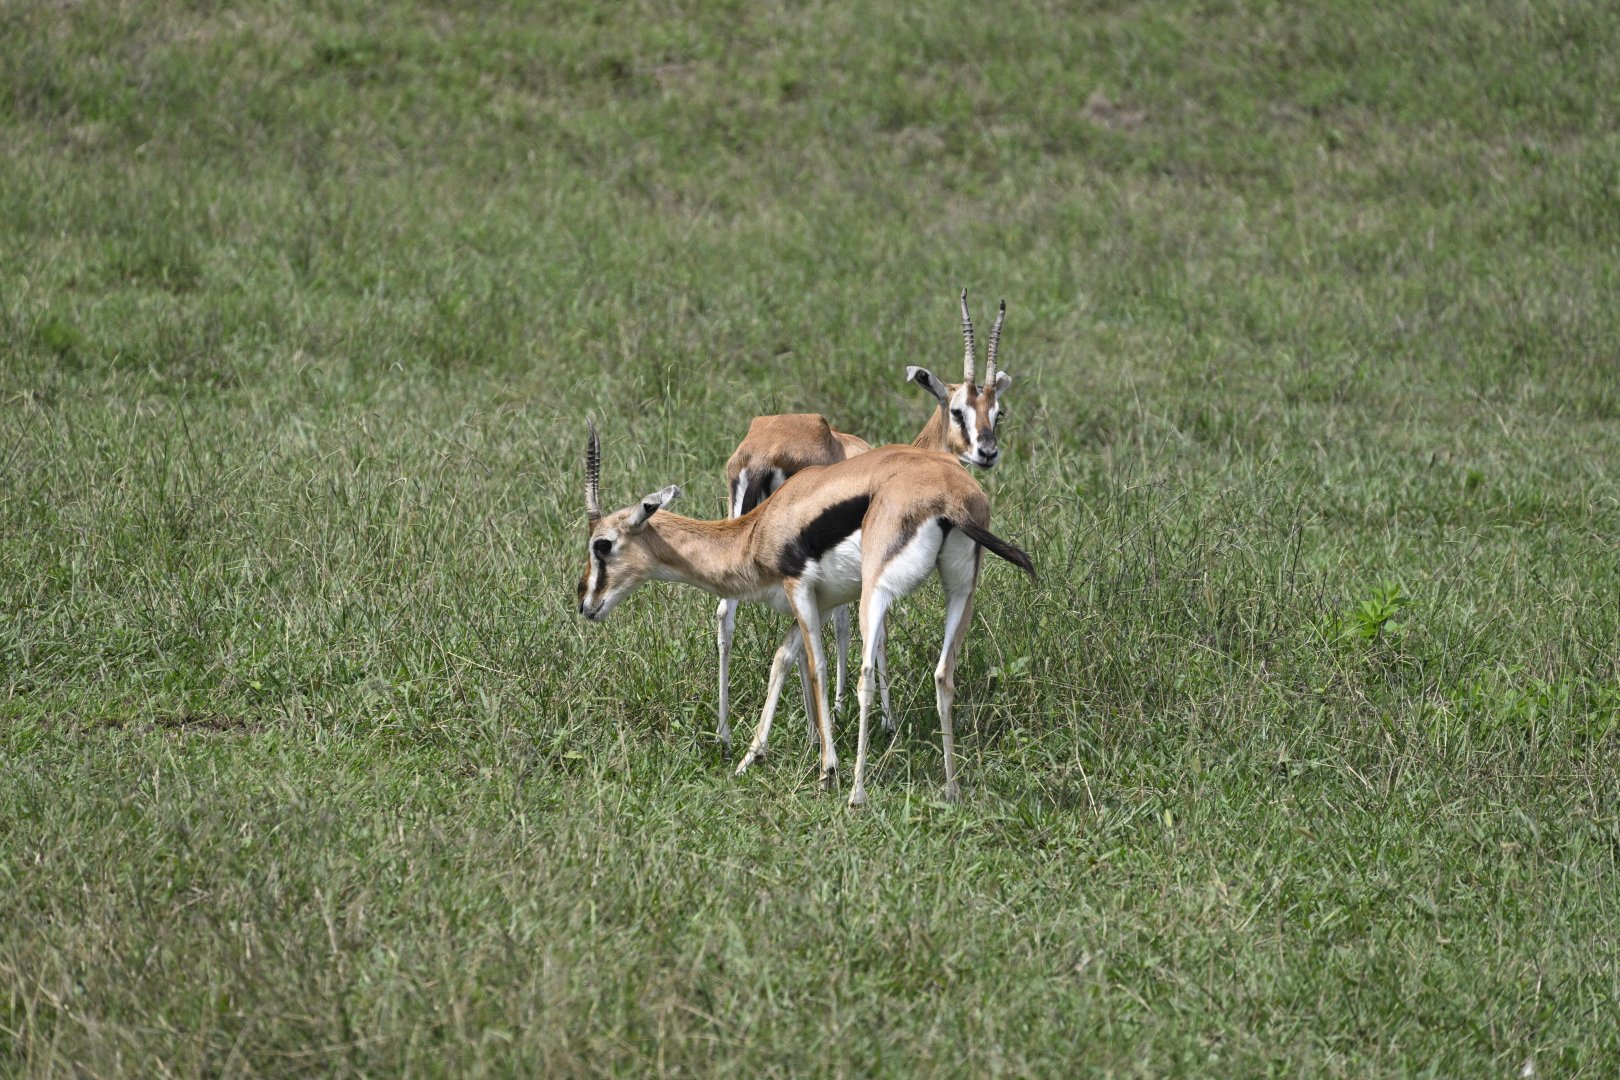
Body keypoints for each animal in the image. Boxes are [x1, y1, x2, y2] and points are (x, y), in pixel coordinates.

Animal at [578, 422, 1035, 807]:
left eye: (603, 544)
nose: (585, 604)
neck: (758, 531)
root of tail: (948, 497)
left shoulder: (798, 588)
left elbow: (814, 666)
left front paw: (825, 767)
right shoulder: (822, 601)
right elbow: (784, 658)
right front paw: (752, 756)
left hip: (876, 593)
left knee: (865, 676)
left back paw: (856, 794)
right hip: (960, 590)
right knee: (943, 674)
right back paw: (951, 789)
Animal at [713, 290, 1015, 753]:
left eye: (997, 413)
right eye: (958, 410)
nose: (987, 452)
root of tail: (760, 454)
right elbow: (869, 632)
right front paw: (877, 719)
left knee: (725, 613)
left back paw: (727, 733)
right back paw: (810, 734)